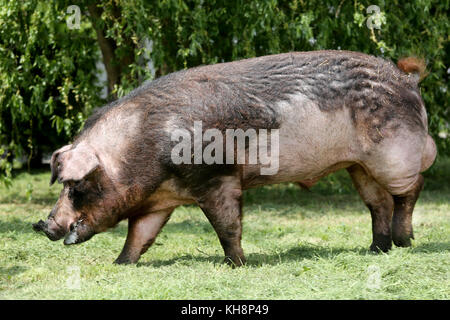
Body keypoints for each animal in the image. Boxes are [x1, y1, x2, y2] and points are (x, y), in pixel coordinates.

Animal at [34, 50, 436, 264]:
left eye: (75, 187)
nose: (44, 225)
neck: (139, 148)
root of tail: (408, 80)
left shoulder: (217, 178)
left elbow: (227, 225)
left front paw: (237, 264)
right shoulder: (157, 201)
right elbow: (140, 236)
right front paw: (120, 263)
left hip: (394, 154)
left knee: (412, 188)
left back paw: (404, 241)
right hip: (359, 166)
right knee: (378, 202)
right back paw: (376, 249)